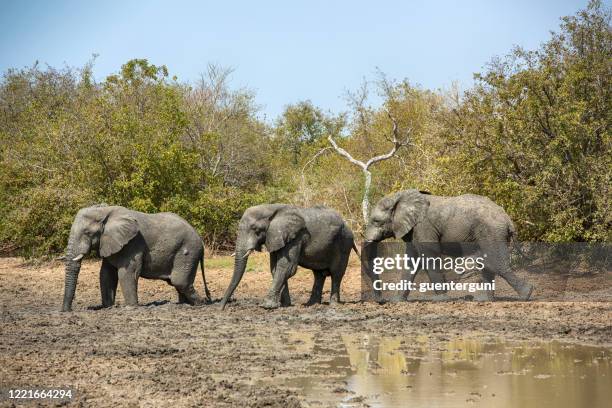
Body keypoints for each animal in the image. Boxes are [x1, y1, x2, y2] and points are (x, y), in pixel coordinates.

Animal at [61, 206, 212, 310]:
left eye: (87, 233)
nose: (66, 311)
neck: (105, 210)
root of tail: (200, 239)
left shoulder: (133, 243)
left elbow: (127, 273)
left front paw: (130, 308)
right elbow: (106, 274)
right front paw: (108, 307)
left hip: (188, 251)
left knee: (179, 281)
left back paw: (200, 303)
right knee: (177, 283)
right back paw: (183, 304)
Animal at [219, 204, 356, 310]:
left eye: (255, 229)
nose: (221, 308)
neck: (270, 208)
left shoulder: (295, 238)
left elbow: (287, 268)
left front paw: (266, 306)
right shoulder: (275, 237)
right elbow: (275, 269)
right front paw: (285, 305)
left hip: (344, 243)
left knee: (336, 273)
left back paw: (333, 305)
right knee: (318, 275)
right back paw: (311, 304)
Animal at [366, 190, 532, 302]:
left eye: (376, 221)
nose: (381, 301)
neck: (400, 197)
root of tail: (508, 219)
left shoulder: (424, 226)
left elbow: (429, 255)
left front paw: (440, 299)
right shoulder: (413, 230)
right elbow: (412, 261)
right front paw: (397, 301)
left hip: (491, 231)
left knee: (494, 261)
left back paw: (527, 294)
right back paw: (484, 300)